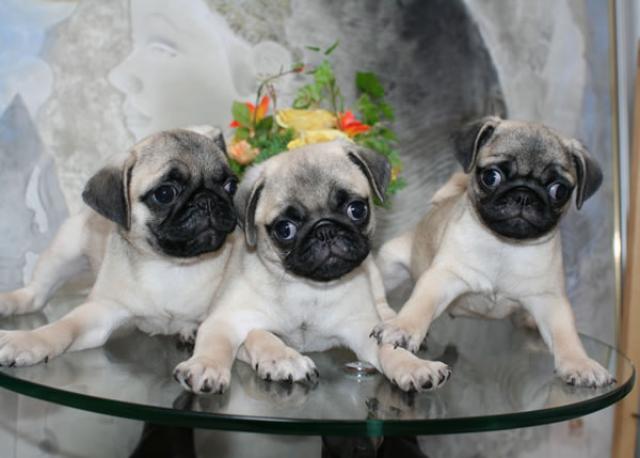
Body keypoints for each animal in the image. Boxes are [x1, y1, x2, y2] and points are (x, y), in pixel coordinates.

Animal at [0, 127, 238, 365]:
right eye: (164, 194)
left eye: (231, 186)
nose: (207, 200)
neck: (172, 265)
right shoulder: (101, 310)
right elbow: (63, 327)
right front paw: (28, 340)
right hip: (62, 254)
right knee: (36, 294)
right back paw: (9, 302)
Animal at [173, 140, 451, 394]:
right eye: (284, 229)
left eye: (357, 209)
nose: (325, 229)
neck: (308, 289)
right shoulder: (225, 320)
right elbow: (236, 340)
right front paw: (208, 365)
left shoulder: (361, 328)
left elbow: (388, 349)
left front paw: (414, 365)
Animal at [372, 117, 614, 387]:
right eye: (491, 176)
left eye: (559, 191)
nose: (524, 195)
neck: (505, 245)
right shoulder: (443, 277)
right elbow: (420, 305)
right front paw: (402, 328)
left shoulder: (549, 300)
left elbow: (566, 335)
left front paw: (580, 364)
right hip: (391, 264)